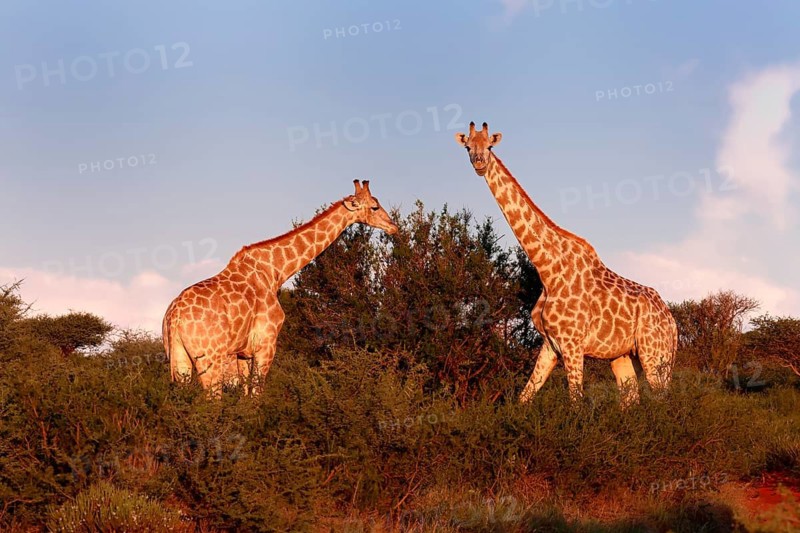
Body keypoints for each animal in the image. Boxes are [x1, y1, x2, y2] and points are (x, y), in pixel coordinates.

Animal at [162, 180, 398, 395]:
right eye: (375, 206)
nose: (393, 226)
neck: (275, 271)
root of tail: (174, 317)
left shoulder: (243, 353)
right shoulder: (266, 344)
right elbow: (256, 395)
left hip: (179, 357)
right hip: (210, 358)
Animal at [455, 122, 677, 405]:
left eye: (490, 146)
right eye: (468, 147)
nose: (480, 164)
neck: (547, 270)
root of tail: (672, 322)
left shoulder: (573, 344)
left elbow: (575, 402)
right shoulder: (550, 345)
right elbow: (524, 397)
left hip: (655, 353)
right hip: (623, 356)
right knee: (631, 399)